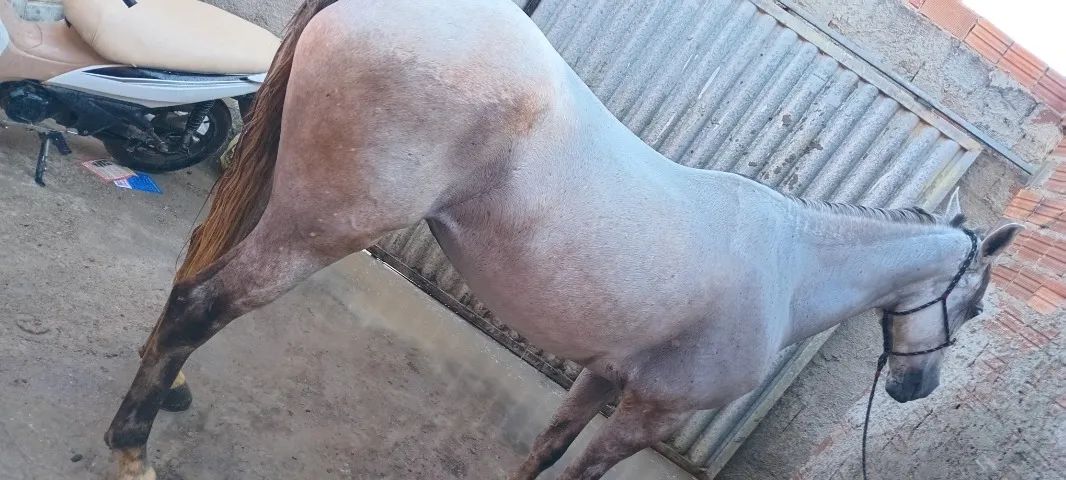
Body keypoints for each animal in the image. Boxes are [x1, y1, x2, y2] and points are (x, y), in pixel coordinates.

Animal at [103, 0, 1021, 479]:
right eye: (974, 310)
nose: (914, 389)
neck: (789, 268)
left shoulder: (602, 377)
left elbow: (545, 453)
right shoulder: (647, 415)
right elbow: (581, 469)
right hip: (321, 228)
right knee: (202, 305)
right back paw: (132, 445)